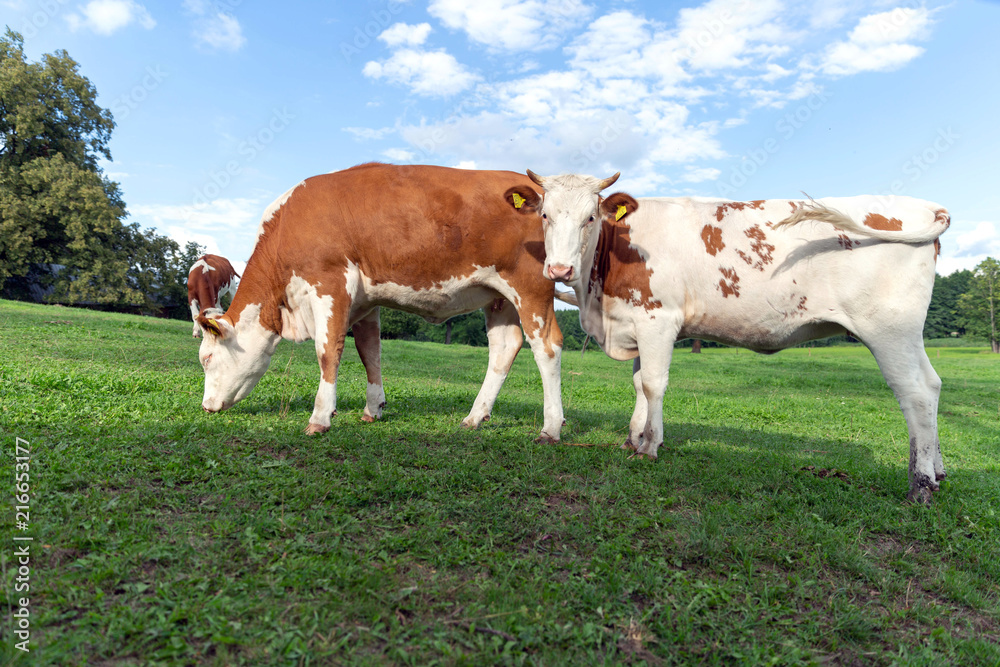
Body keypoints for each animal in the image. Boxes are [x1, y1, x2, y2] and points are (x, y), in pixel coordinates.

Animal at [195, 164, 564, 440]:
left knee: (547, 346)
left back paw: (551, 427)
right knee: (504, 347)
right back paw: (474, 416)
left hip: (530, 287)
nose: (206, 406)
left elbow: (328, 351)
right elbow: (369, 352)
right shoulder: (365, 301)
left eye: (207, 359)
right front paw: (373, 409)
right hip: (499, 297)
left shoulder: (330, 283)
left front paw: (320, 417)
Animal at [508, 170, 952, 504]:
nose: (559, 270)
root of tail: (924, 205)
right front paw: (633, 439)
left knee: (914, 392)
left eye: (590, 218)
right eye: (545, 215)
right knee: (932, 384)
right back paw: (937, 473)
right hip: (907, 334)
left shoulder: (658, 319)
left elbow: (653, 384)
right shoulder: (637, 321)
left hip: (889, 329)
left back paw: (920, 486)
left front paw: (650, 446)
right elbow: (638, 382)